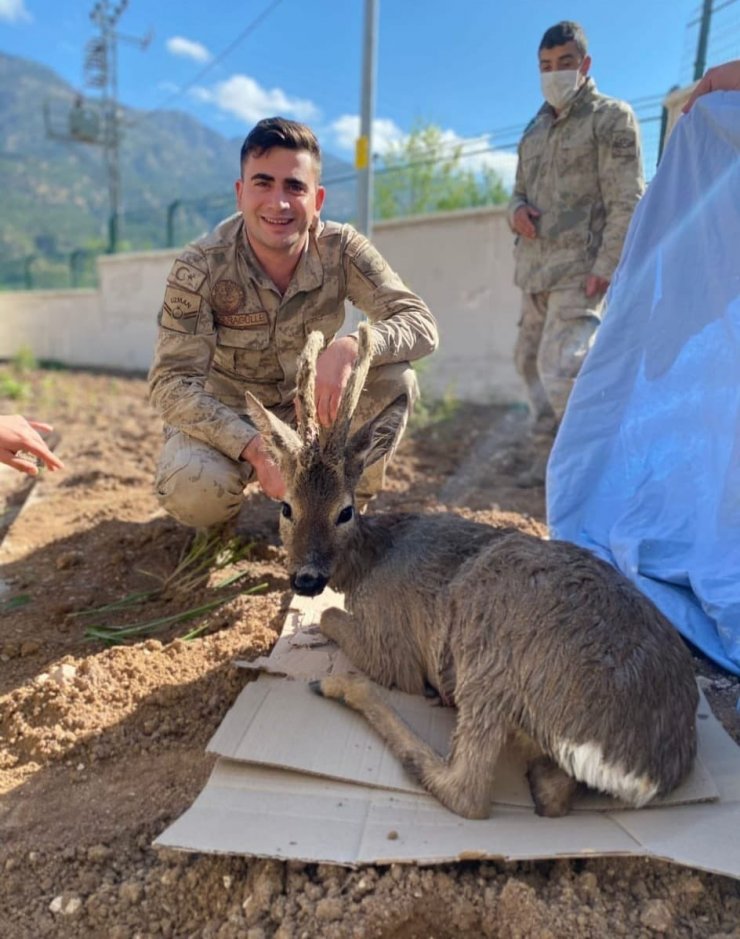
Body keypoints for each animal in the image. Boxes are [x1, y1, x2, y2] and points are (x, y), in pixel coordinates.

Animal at [244, 324, 700, 824]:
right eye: (287, 507)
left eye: (344, 511)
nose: (306, 578)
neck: (370, 562)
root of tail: (641, 770)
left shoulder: (391, 645)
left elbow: (330, 619)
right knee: (552, 794)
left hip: (489, 650)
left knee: (469, 791)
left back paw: (343, 686)